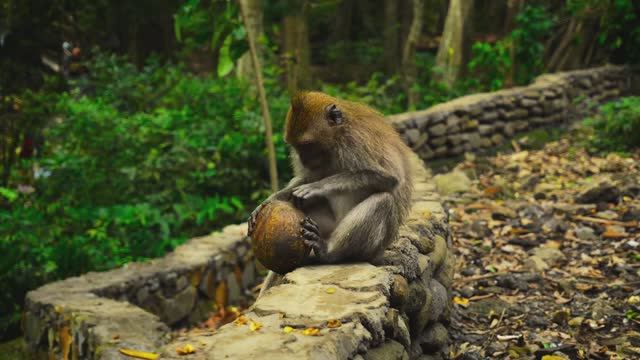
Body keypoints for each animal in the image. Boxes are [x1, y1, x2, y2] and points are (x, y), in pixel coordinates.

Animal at [248, 91, 412, 296]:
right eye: (295, 147)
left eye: (307, 145)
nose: (302, 159)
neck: (337, 139)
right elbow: (306, 178)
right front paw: (268, 202)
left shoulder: (358, 141)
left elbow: (391, 177)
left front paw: (318, 186)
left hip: (372, 248)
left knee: (383, 201)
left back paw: (329, 253)